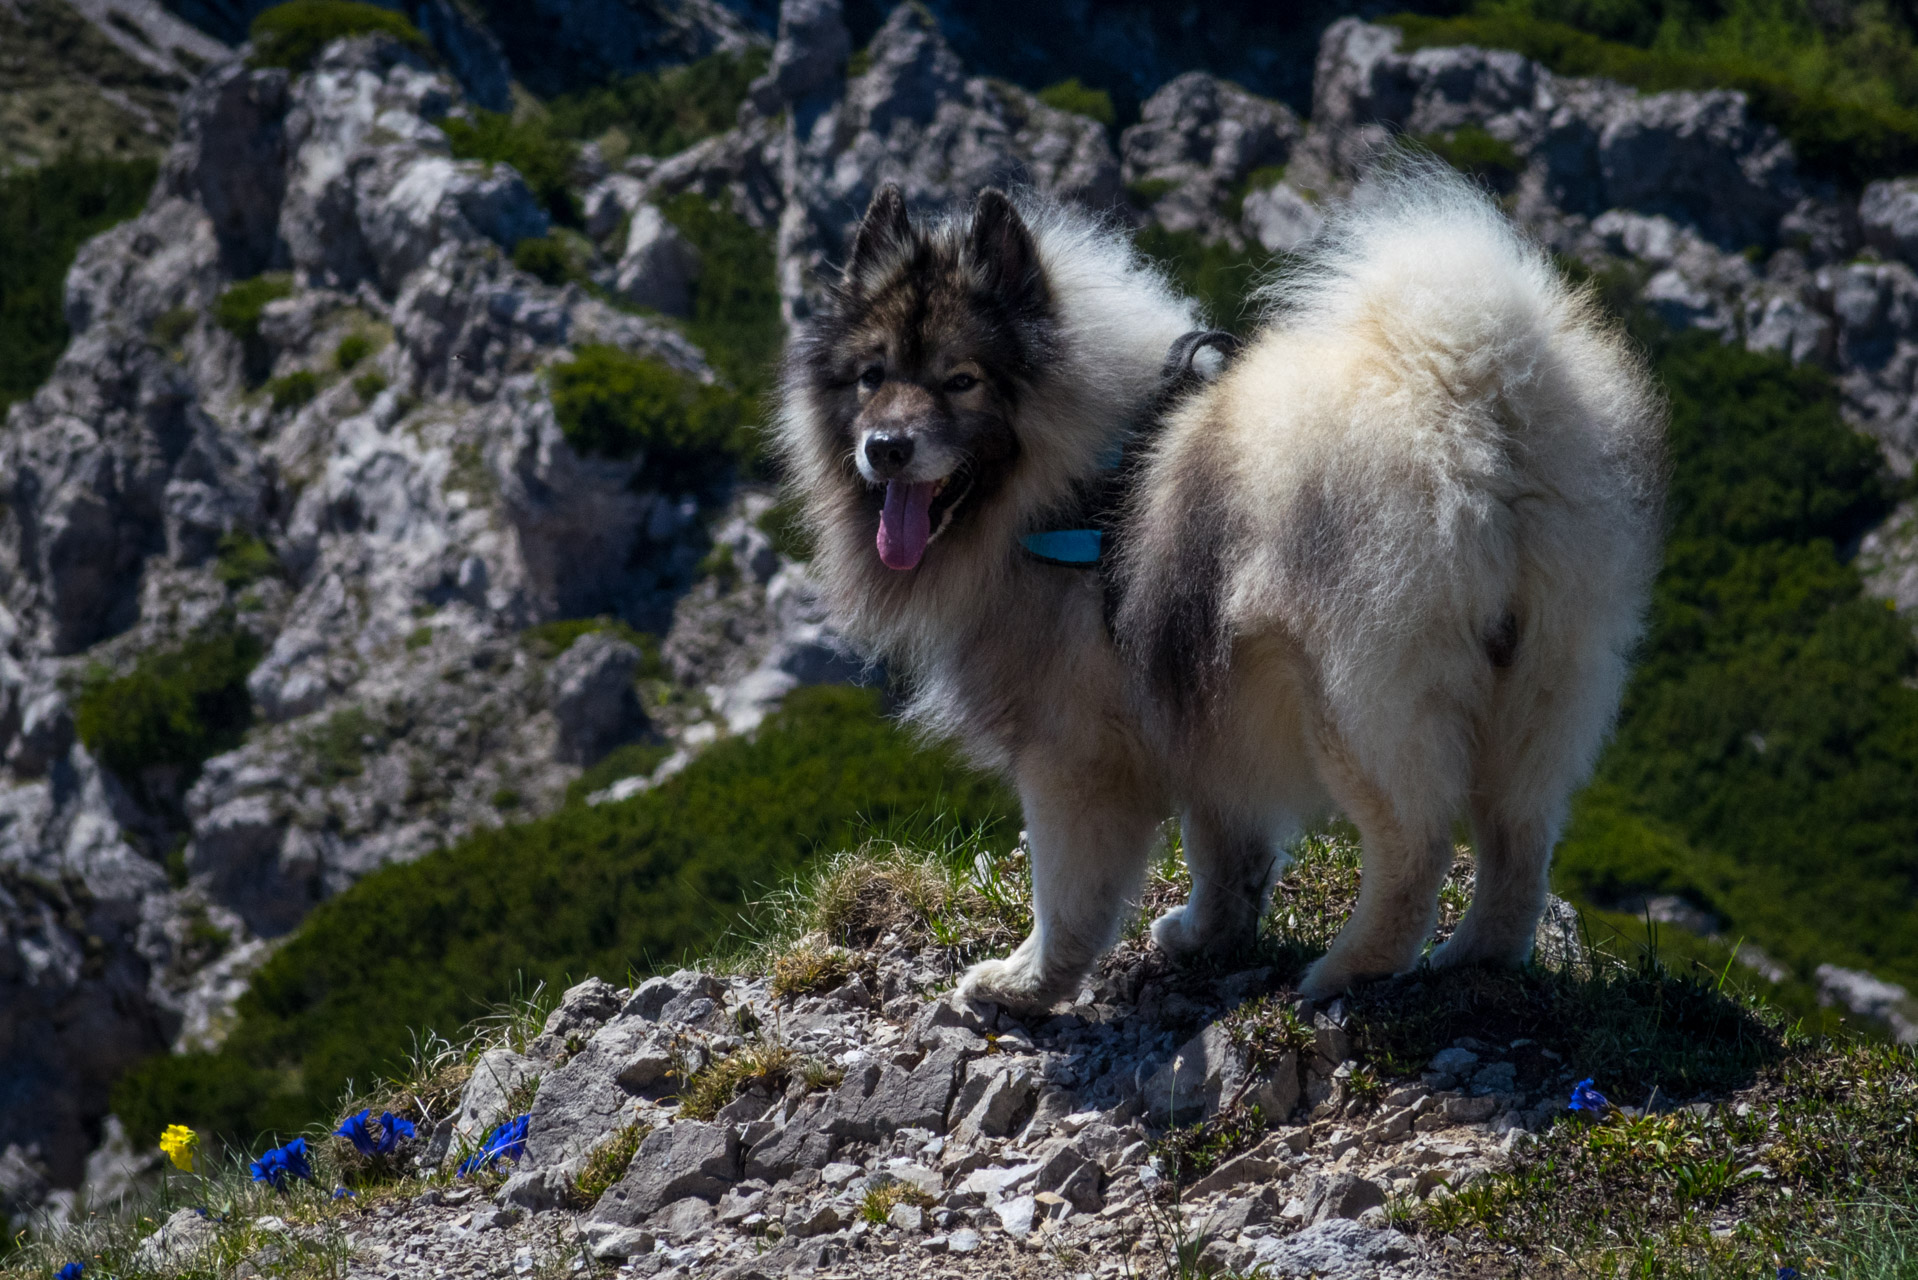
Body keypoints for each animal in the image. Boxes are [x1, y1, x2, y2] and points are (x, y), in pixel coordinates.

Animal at [774, 165, 1664, 1005]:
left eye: (961, 380)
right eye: (870, 377)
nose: (886, 447)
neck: (1074, 474)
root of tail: (1472, 408)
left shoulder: (1074, 750)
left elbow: (1067, 893)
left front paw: (1029, 984)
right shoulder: (1199, 703)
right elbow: (1224, 845)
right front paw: (1211, 935)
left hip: (1358, 702)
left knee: (1417, 846)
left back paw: (1351, 973)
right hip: (1540, 685)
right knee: (1520, 839)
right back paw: (1477, 957)